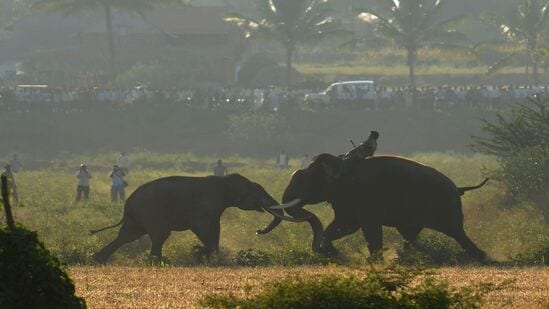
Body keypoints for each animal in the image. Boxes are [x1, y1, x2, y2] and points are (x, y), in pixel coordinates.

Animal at [91, 173, 304, 262]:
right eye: (255, 193)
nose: (258, 230)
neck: (224, 180)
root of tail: (127, 204)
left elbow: (215, 228)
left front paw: (210, 256)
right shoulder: (205, 204)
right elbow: (201, 227)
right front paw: (200, 253)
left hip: (138, 216)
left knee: (127, 236)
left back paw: (98, 259)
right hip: (149, 211)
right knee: (159, 234)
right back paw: (158, 261)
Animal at [260, 153, 490, 262]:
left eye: (305, 182)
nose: (259, 230)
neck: (338, 162)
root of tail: (458, 187)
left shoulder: (362, 195)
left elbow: (364, 226)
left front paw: (373, 259)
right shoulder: (345, 198)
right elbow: (344, 225)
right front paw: (332, 252)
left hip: (446, 206)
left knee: (456, 232)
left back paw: (481, 257)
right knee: (410, 234)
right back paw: (408, 257)